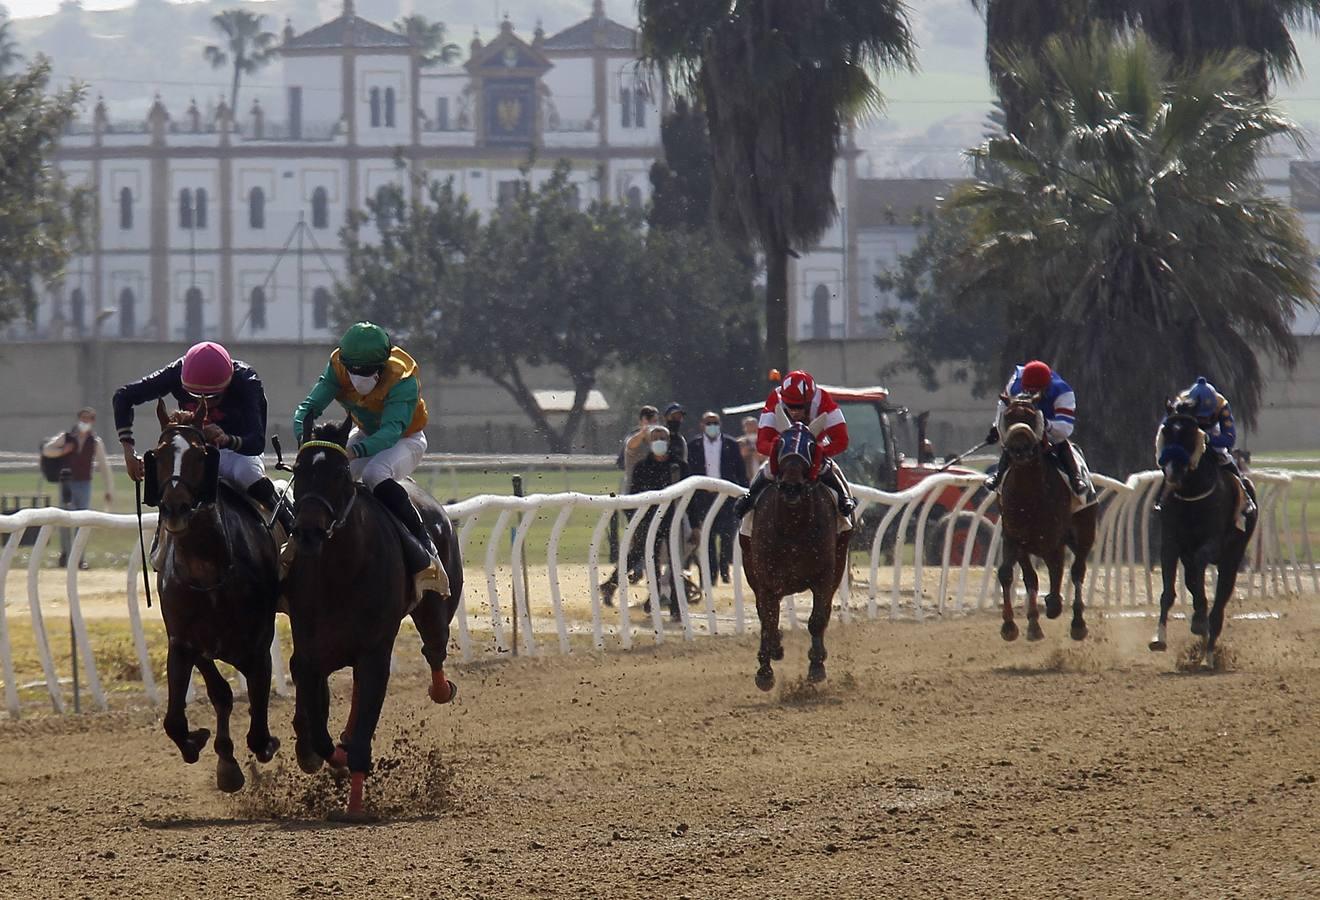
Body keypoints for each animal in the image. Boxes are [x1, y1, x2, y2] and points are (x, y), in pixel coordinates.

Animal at [143, 403, 279, 786]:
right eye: (158, 453)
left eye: (200, 453)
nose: (175, 508)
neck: (209, 574)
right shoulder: (185, 641)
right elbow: (186, 714)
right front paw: (216, 754)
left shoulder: (258, 644)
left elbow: (259, 723)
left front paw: (265, 745)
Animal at [285, 417, 464, 818]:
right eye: (299, 470)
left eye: (339, 473)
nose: (308, 532)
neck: (340, 571)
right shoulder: (310, 650)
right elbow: (318, 728)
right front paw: (331, 755)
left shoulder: (375, 651)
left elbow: (365, 720)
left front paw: (354, 801)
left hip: (437, 607)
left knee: (435, 650)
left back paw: (441, 688)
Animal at [739, 414, 850, 686]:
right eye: (779, 444)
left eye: (811, 447)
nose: (791, 487)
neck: (792, 527)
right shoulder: (766, 577)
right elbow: (768, 619)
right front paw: (764, 671)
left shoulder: (824, 575)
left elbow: (817, 619)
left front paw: (816, 666)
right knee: (766, 614)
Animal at [992, 393, 1098, 638]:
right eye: (1008, 416)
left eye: (1032, 416)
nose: (1019, 448)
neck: (1029, 494)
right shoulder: (1014, 537)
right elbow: (1010, 573)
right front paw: (1014, 625)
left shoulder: (1052, 539)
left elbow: (1058, 569)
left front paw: (1053, 606)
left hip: (1085, 530)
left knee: (1077, 570)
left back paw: (1076, 622)